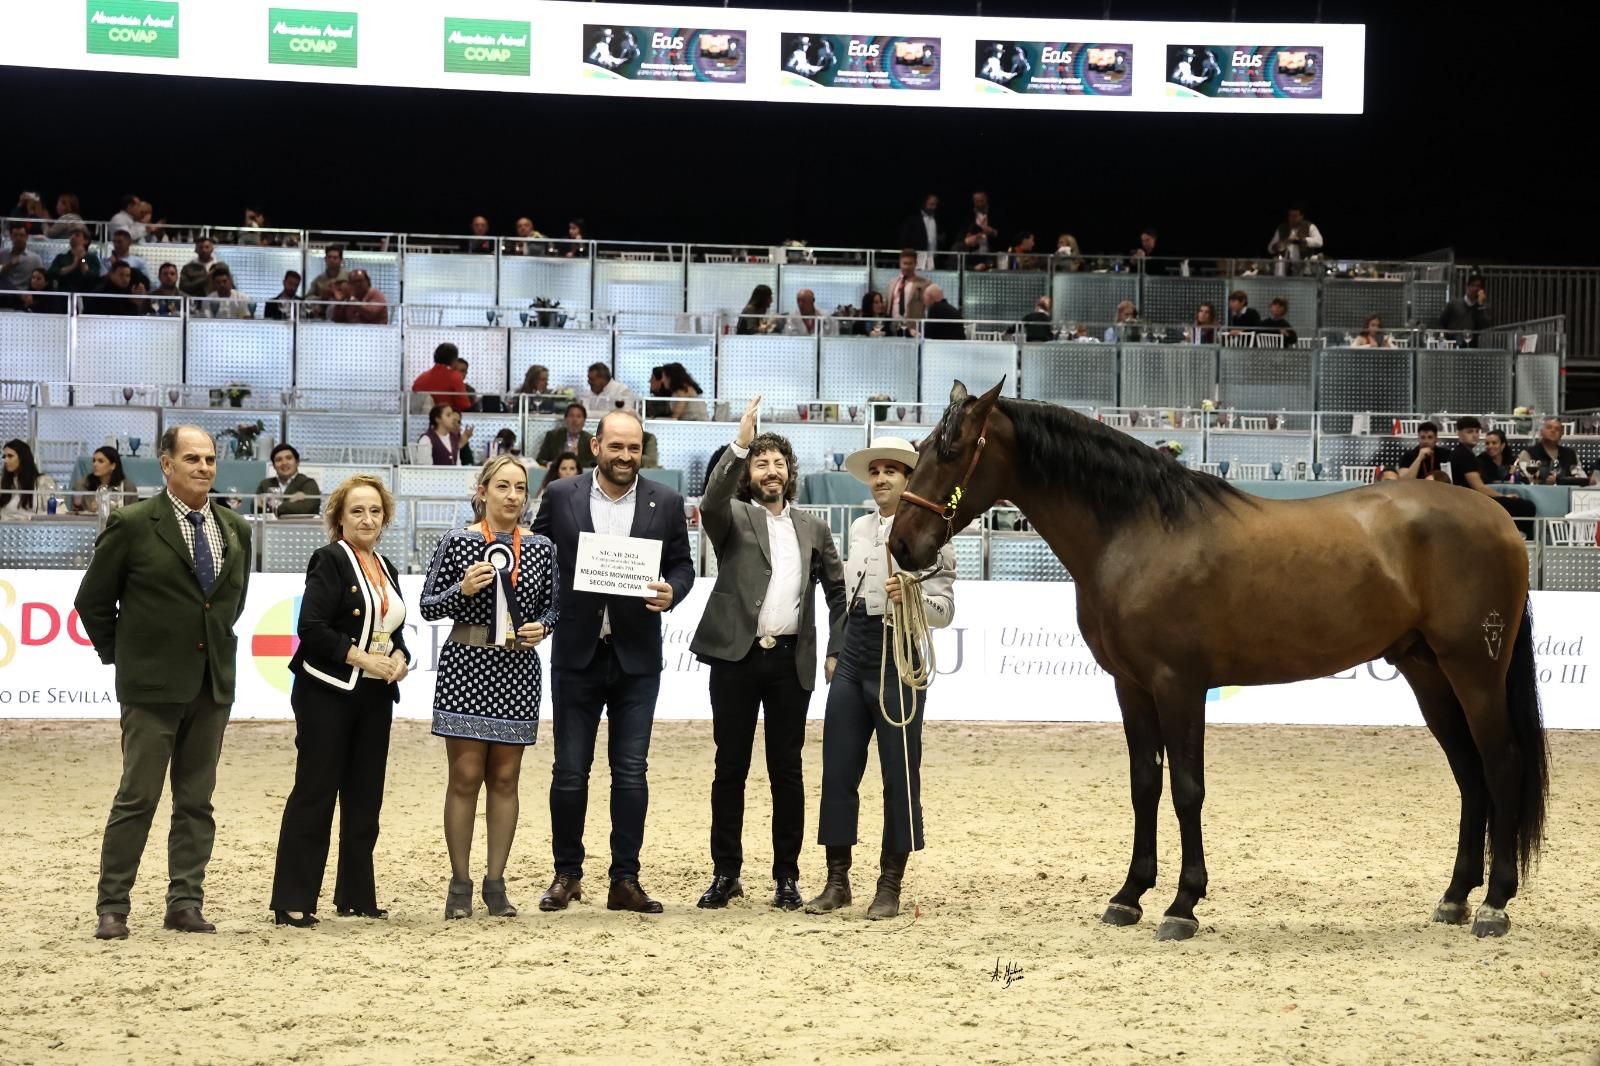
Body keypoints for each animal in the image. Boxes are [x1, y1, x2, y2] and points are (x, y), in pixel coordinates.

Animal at [896, 379, 1542, 941]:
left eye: (951, 450)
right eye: (921, 448)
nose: (902, 545)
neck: (1140, 532)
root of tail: (1501, 520)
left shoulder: (1179, 684)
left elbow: (1187, 788)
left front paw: (1182, 905)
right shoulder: (1131, 687)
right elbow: (1144, 784)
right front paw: (1129, 896)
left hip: (1475, 670)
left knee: (1501, 763)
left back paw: (1495, 904)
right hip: (1427, 673)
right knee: (1469, 772)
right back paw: (1455, 898)